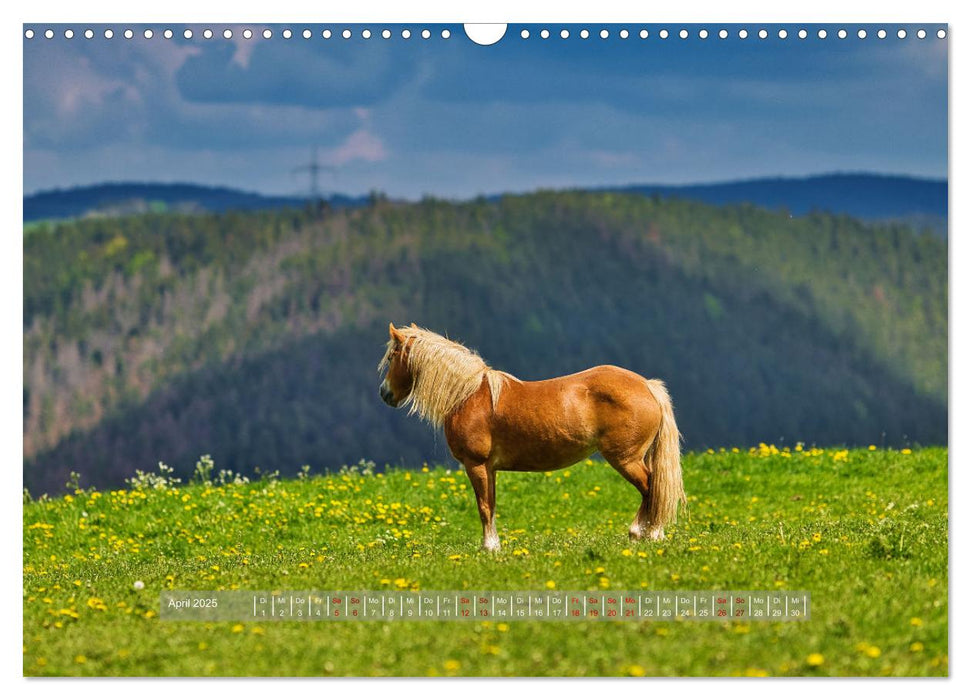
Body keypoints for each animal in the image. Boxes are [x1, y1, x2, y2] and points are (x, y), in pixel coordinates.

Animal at [376, 324, 688, 552]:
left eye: (392, 358)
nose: (385, 393)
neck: (468, 395)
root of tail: (647, 386)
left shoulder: (476, 465)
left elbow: (483, 506)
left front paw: (488, 548)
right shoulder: (489, 469)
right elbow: (492, 504)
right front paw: (495, 544)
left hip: (626, 458)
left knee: (651, 488)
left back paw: (646, 533)